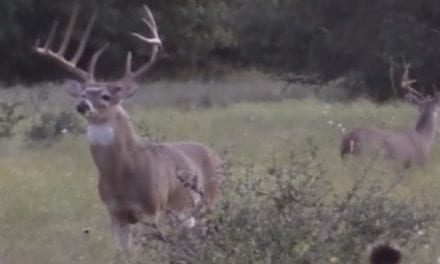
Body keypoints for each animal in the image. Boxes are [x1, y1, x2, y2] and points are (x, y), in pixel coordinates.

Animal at [34, 2, 225, 254]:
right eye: (83, 94)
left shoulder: (152, 208)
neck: (122, 175)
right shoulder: (115, 213)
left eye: (105, 96)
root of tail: (214, 154)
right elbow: (124, 254)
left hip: (207, 201)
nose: (82, 105)